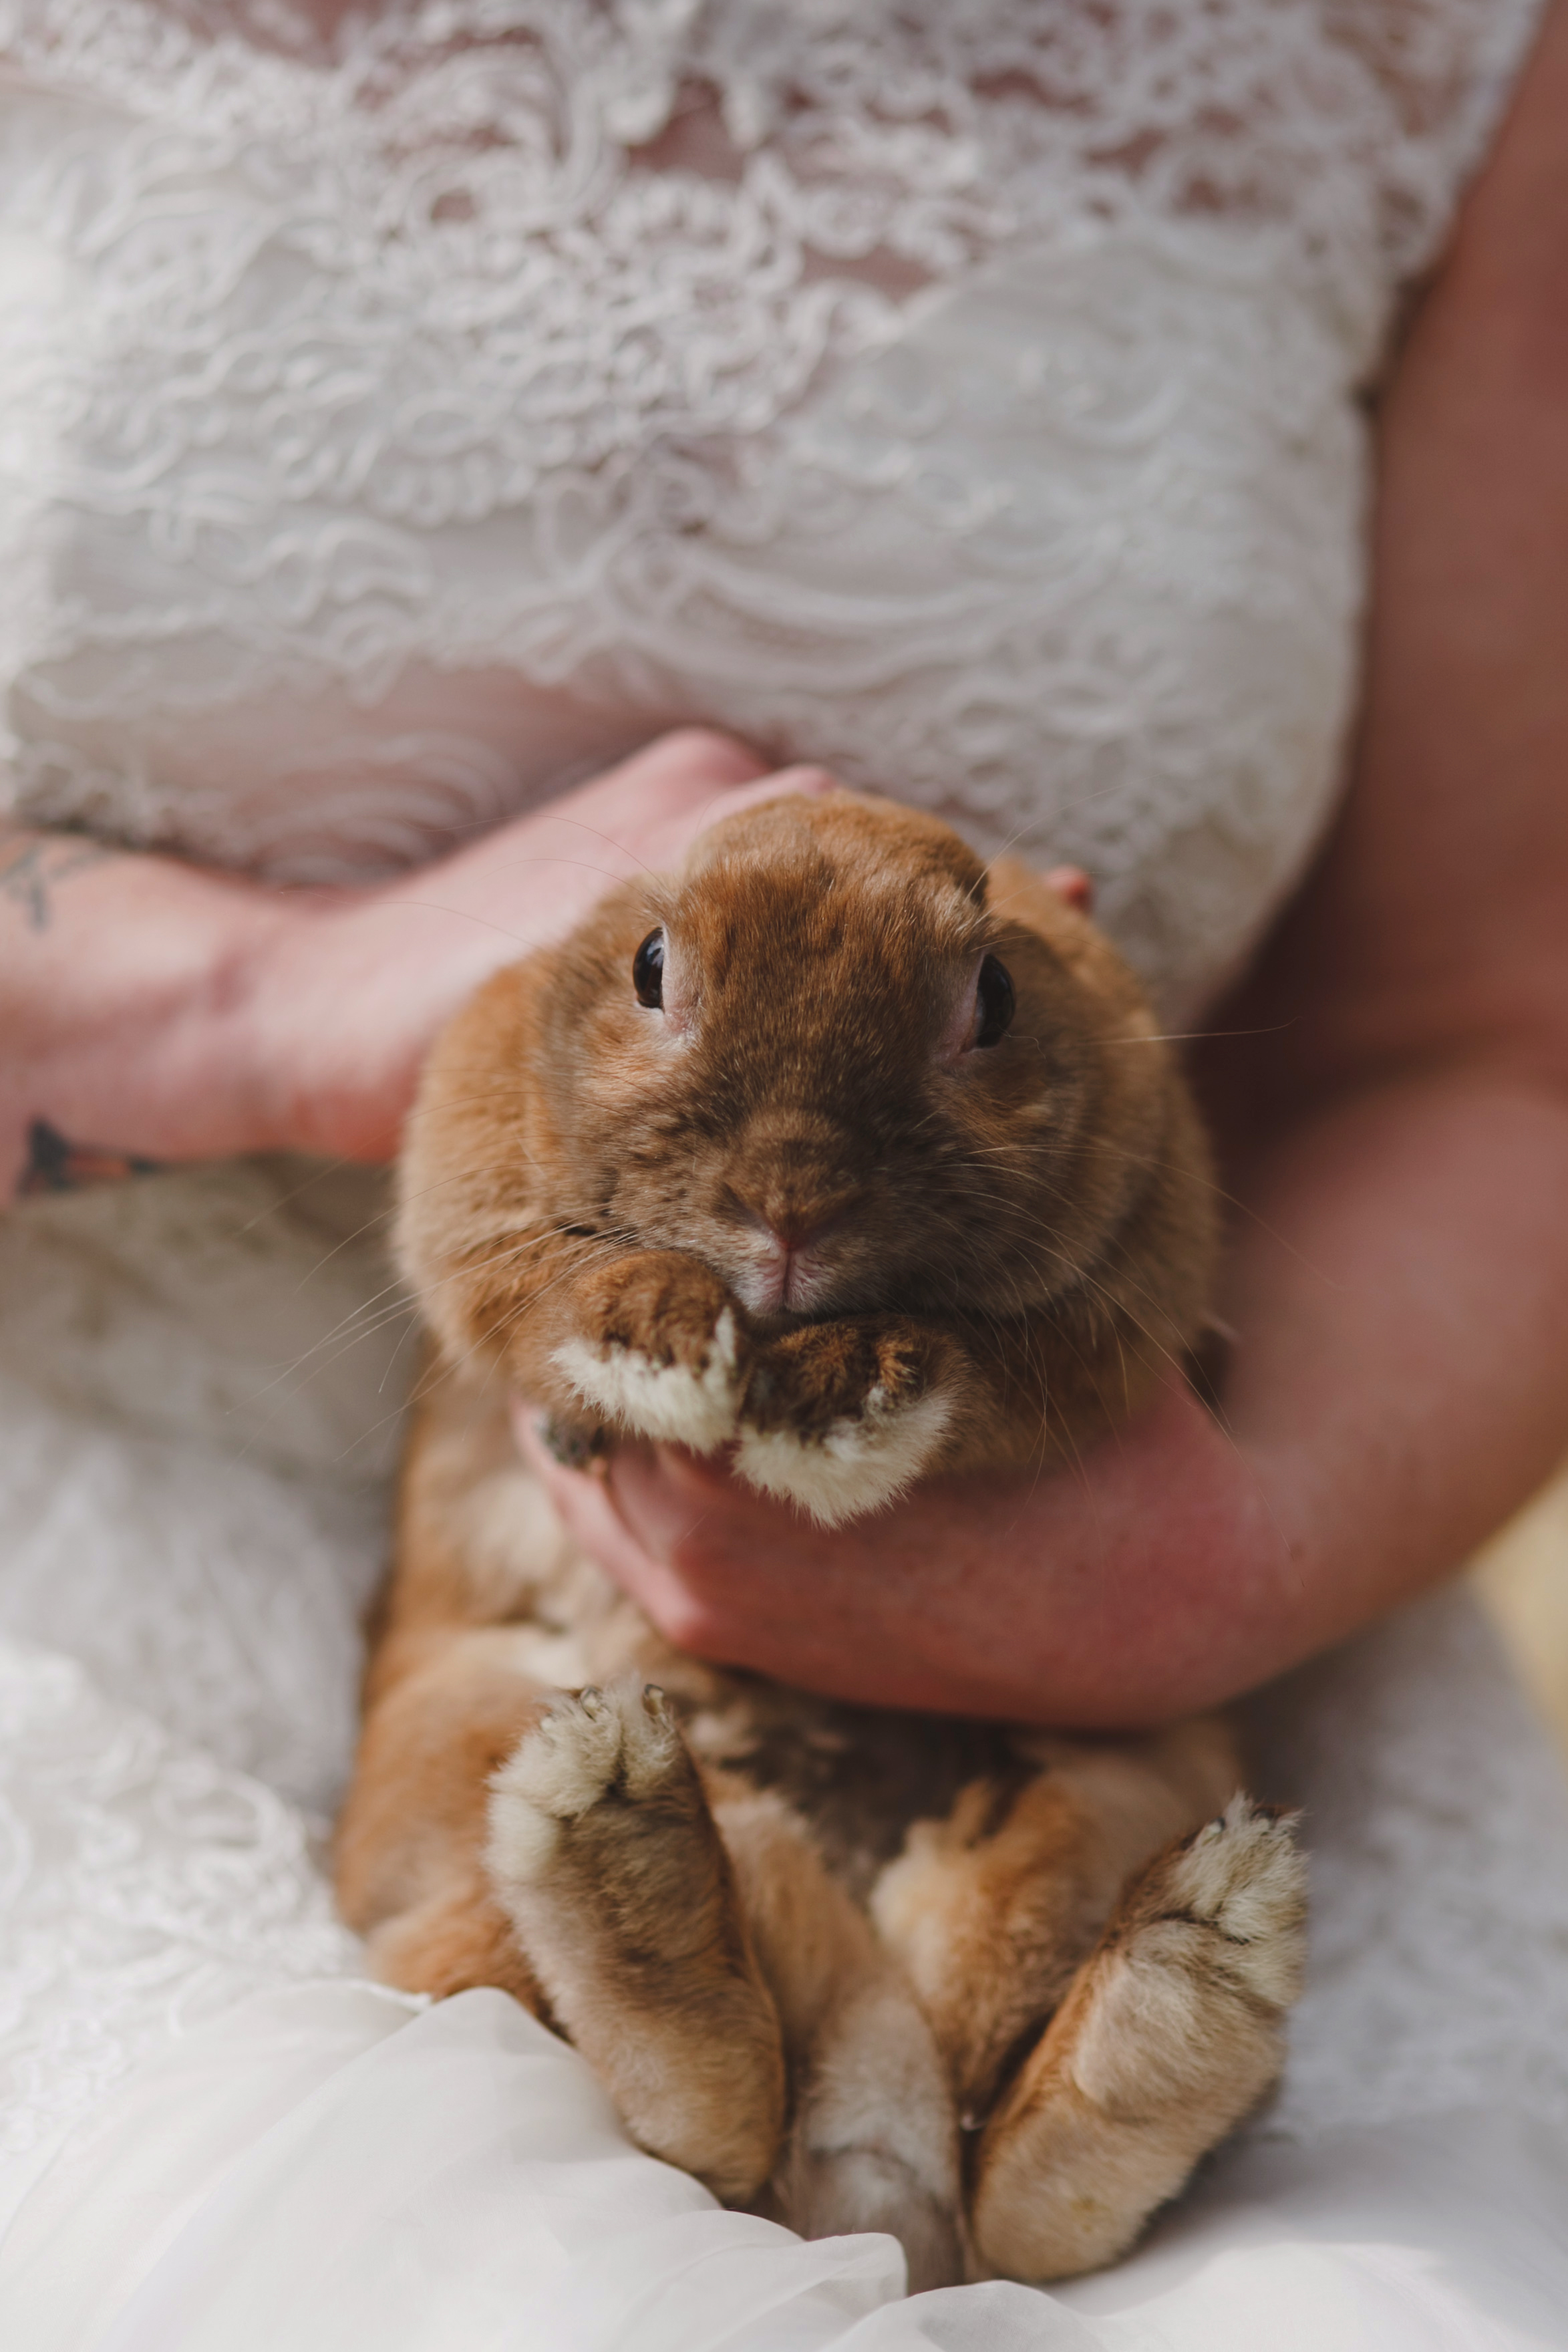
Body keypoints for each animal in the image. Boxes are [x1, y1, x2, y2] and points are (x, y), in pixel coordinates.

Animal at [335, 789, 1305, 2290]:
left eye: (996, 996)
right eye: (652, 968)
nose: (791, 1205)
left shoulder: (1115, 1289)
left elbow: (984, 1369)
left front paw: (828, 1405)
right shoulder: (473, 1176)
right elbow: (545, 1286)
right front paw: (660, 1353)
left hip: (1109, 1795)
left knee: (1004, 2179)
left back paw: (1201, 1944)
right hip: (465, 1743)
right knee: (706, 2119)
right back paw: (620, 1821)